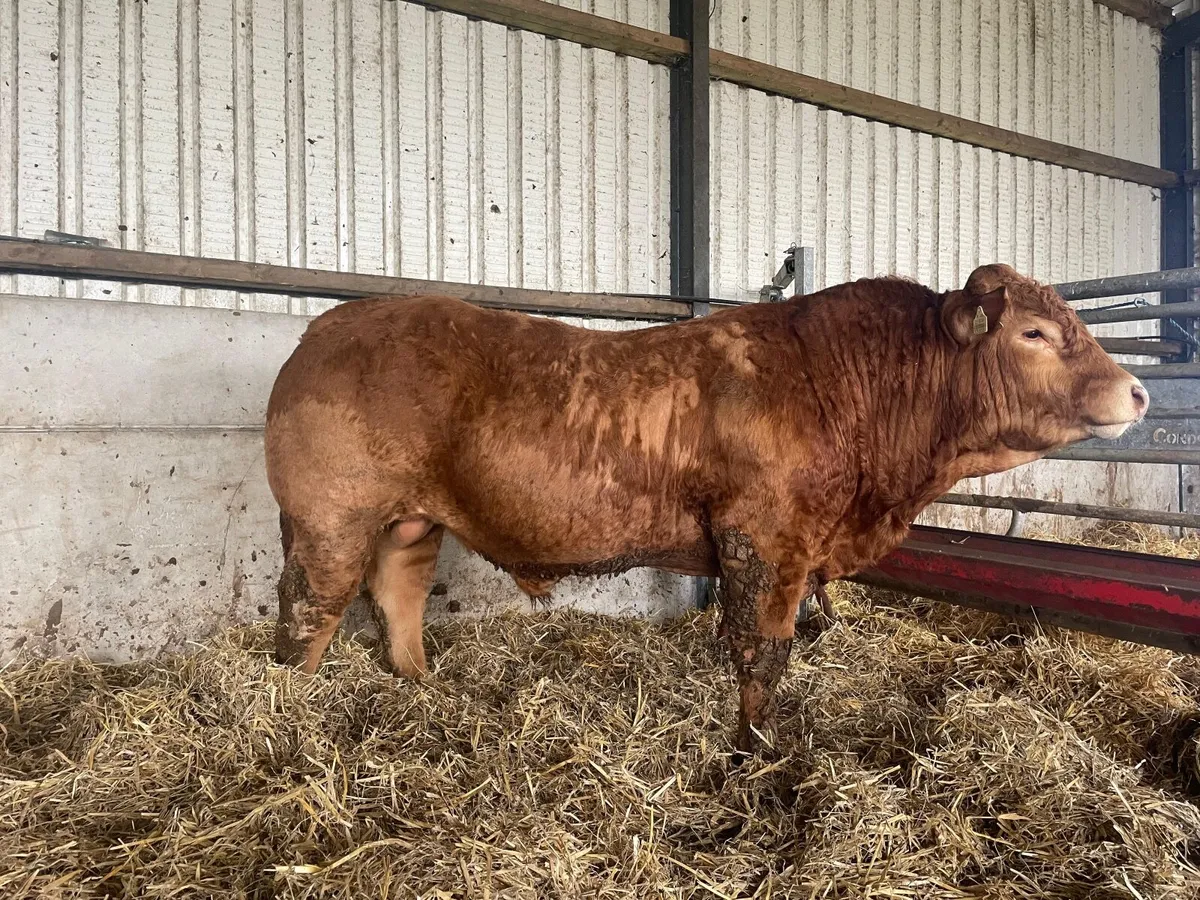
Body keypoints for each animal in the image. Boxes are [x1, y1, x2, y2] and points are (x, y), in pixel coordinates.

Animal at [264, 264, 1148, 754]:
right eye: (1034, 333)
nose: (1137, 391)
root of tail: (329, 325)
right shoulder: (764, 539)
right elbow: (761, 653)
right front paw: (752, 752)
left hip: (411, 521)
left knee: (398, 593)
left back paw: (419, 684)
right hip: (332, 520)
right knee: (310, 614)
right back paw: (291, 715)